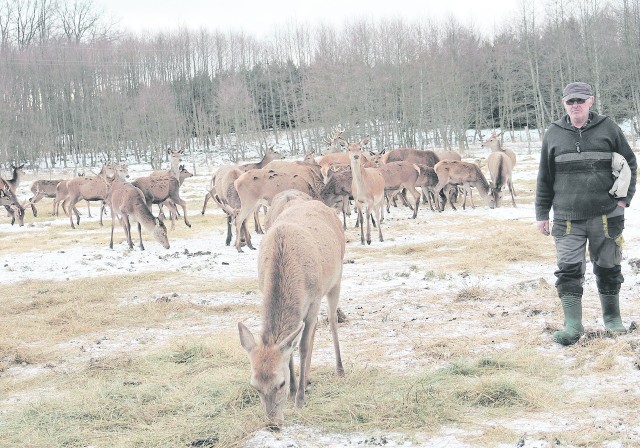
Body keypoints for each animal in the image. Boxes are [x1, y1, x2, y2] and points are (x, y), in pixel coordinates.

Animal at [238, 199, 344, 424]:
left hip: (336, 278)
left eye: (280, 384)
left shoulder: (314, 299)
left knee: (331, 321)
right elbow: (291, 348)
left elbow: (302, 346)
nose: (273, 424)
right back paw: (308, 377)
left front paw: (299, 400)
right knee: (315, 327)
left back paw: (340, 370)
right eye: (255, 386)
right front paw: (296, 389)